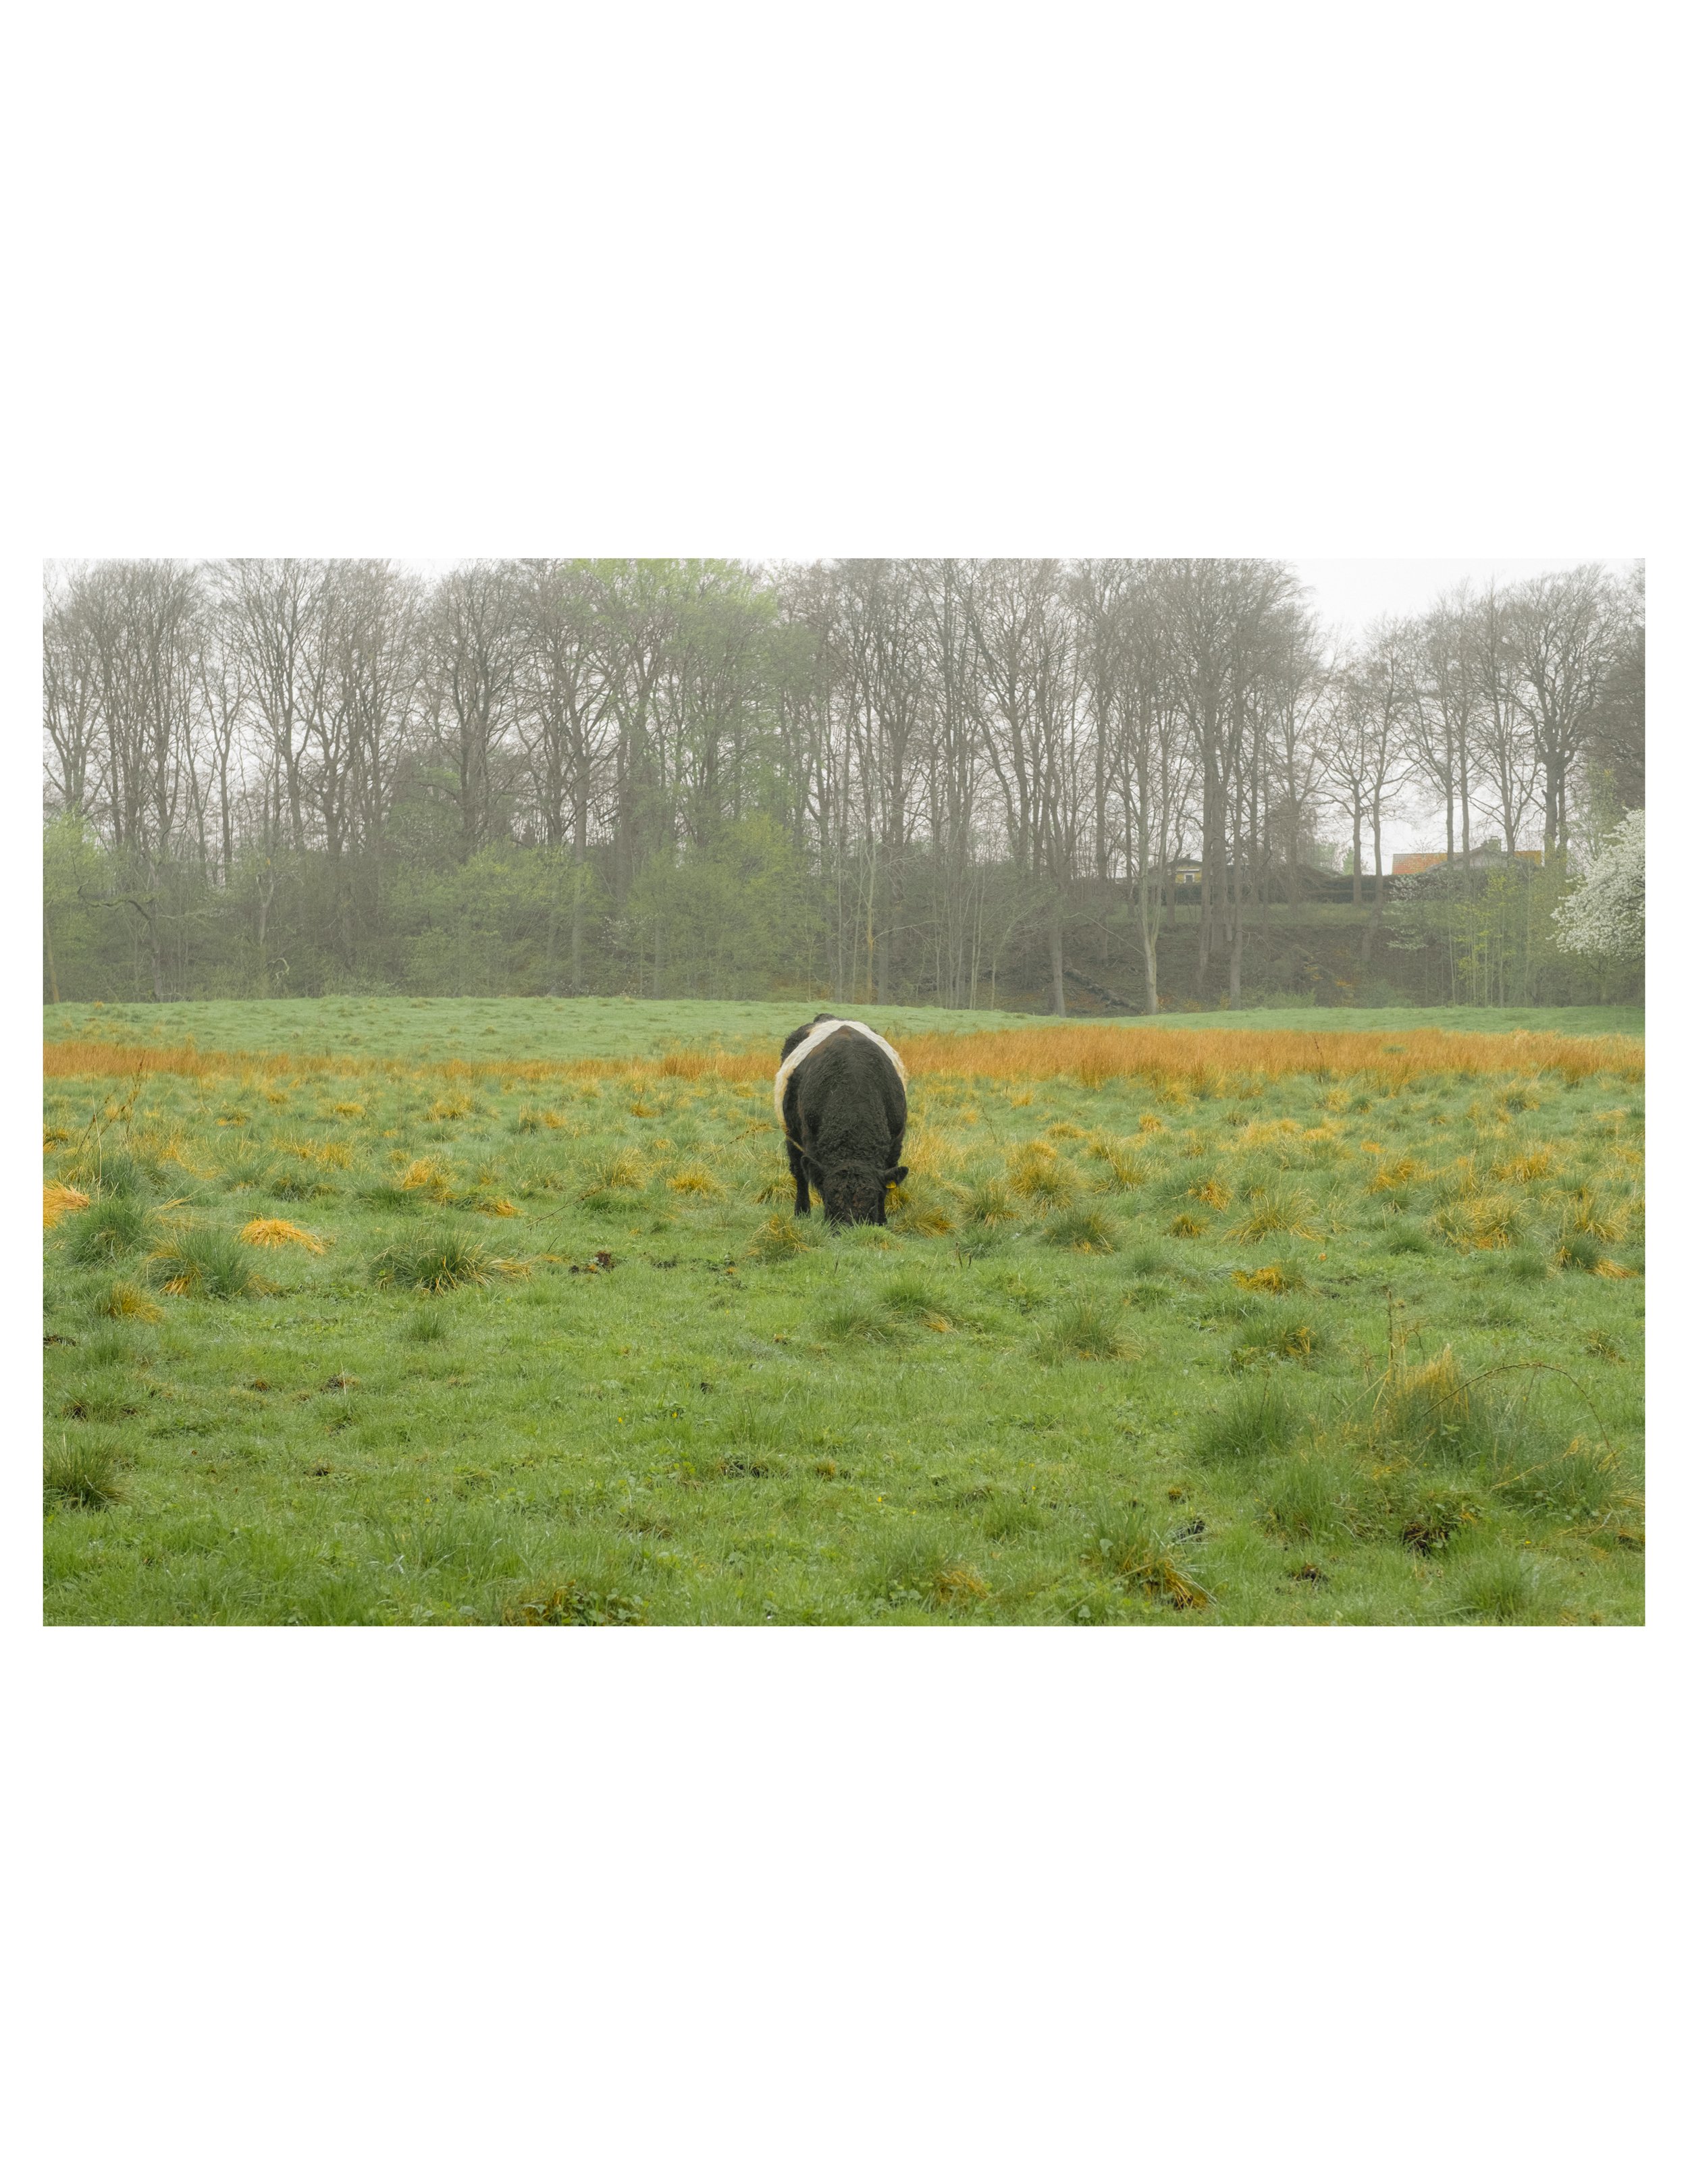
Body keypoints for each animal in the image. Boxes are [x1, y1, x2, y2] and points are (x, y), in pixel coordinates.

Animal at [775, 1015, 909, 1226]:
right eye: (829, 1202)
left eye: (872, 1204)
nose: (847, 1231)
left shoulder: (895, 1143)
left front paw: (882, 1222)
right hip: (791, 1137)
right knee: (799, 1174)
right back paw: (801, 1213)